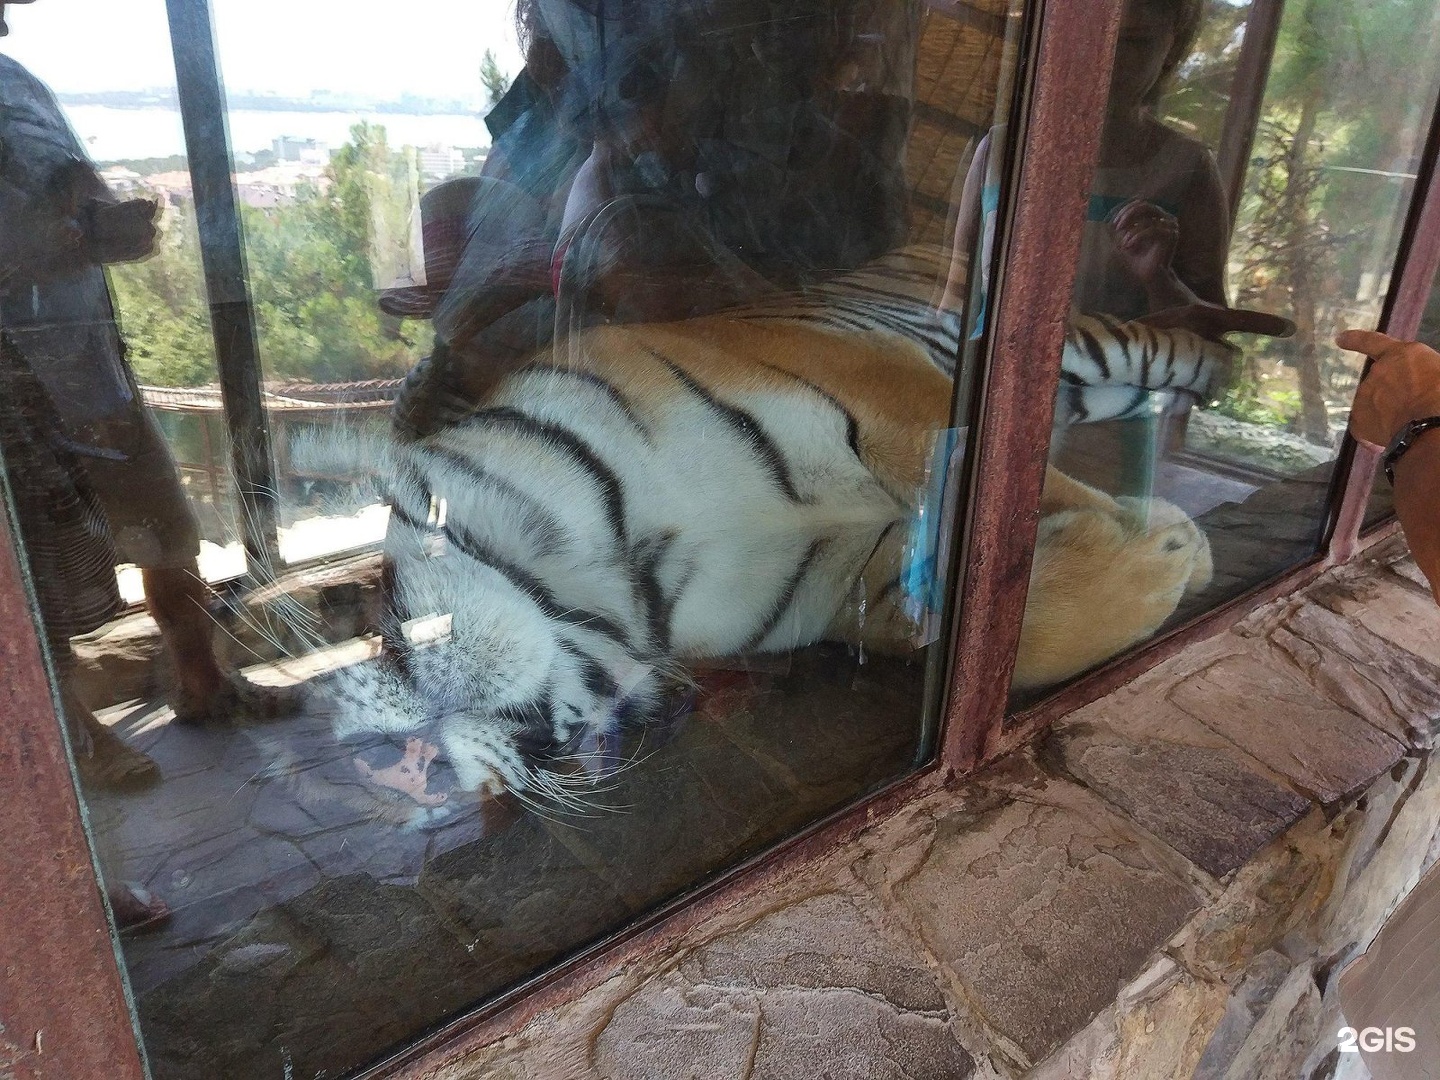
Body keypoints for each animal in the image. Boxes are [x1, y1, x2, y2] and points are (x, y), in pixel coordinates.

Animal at [295, 243, 1296, 829]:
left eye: (361, 611)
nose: (408, 770)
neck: (627, 563)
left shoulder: (893, 394)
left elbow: (1012, 485)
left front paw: (1163, 536)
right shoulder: (847, 574)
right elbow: (998, 621)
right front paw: (1162, 553)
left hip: (1088, 344)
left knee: (1177, 346)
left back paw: (1255, 351)